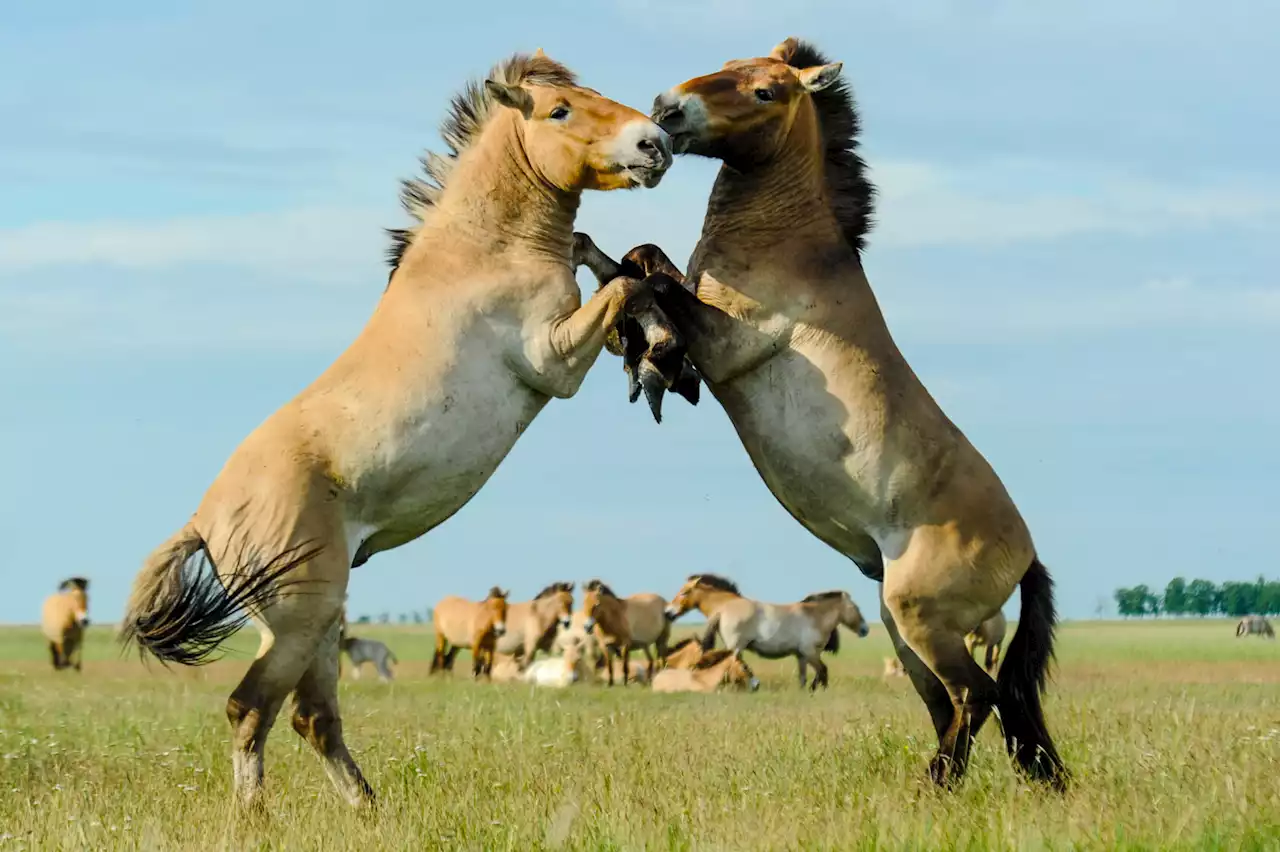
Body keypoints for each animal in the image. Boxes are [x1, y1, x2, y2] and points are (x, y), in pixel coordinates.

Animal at [119, 49, 675, 808]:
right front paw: (656, 336)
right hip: (299, 620)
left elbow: (605, 261)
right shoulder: (553, 360)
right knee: (251, 708)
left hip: (317, 621)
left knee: (311, 717)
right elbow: (622, 287)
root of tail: (203, 520)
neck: (486, 249)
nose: (655, 143)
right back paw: (255, 816)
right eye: (561, 110)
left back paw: (367, 810)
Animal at [660, 570, 870, 690]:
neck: (814, 616)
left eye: (684, 592)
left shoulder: (803, 656)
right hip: (736, 647)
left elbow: (805, 677)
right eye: (857, 608)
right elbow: (822, 672)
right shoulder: (811, 653)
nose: (668, 612)